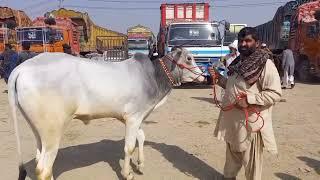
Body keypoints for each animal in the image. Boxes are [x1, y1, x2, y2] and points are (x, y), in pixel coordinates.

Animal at [9, 48, 205, 180]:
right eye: (189, 58)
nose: (203, 76)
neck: (153, 77)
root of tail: (22, 68)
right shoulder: (134, 117)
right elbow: (129, 147)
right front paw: (127, 174)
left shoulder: (133, 117)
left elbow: (141, 137)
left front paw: (140, 165)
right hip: (53, 131)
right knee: (43, 168)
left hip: (38, 130)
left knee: (39, 161)